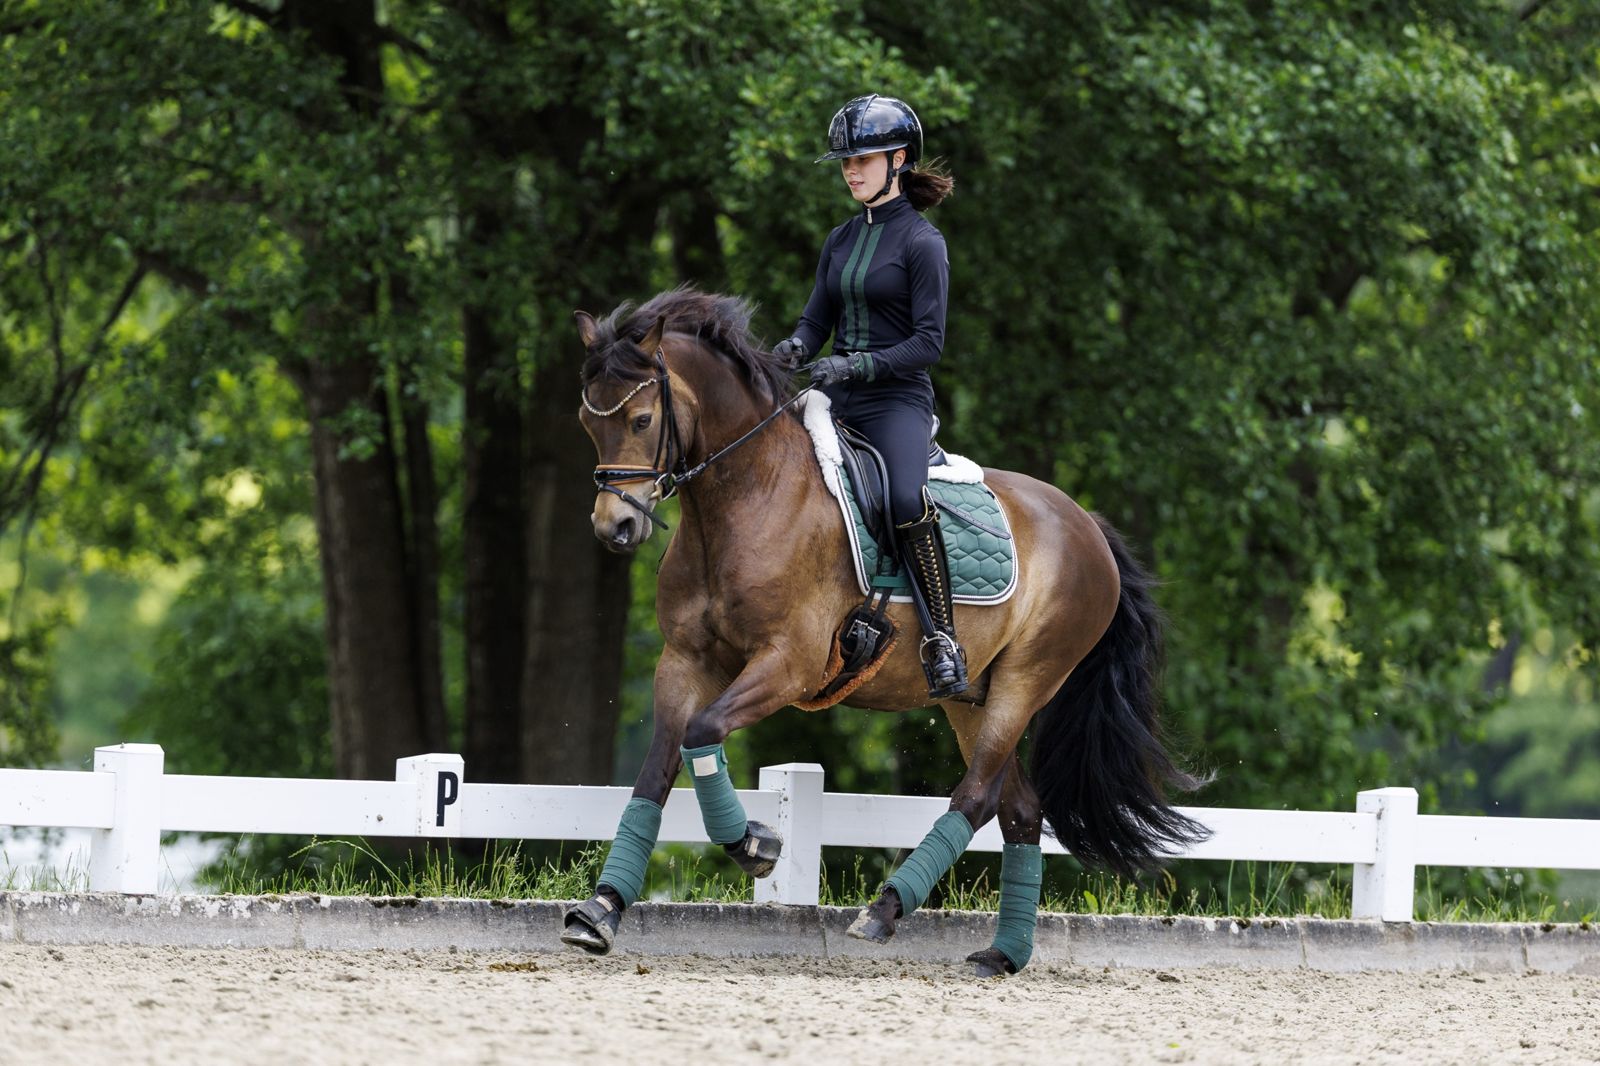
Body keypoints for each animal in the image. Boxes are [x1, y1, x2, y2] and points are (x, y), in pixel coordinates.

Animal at [561, 287, 1207, 976]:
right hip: (970, 696)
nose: (615, 527)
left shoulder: (788, 664)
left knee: (977, 797)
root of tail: (1086, 523)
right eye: (587, 422)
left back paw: (885, 910)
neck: (747, 494)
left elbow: (703, 732)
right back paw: (1000, 954)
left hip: (1028, 679)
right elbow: (657, 769)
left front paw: (755, 845)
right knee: (1019, 810)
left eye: (641, 420)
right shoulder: (684, 661)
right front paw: (600, 911)